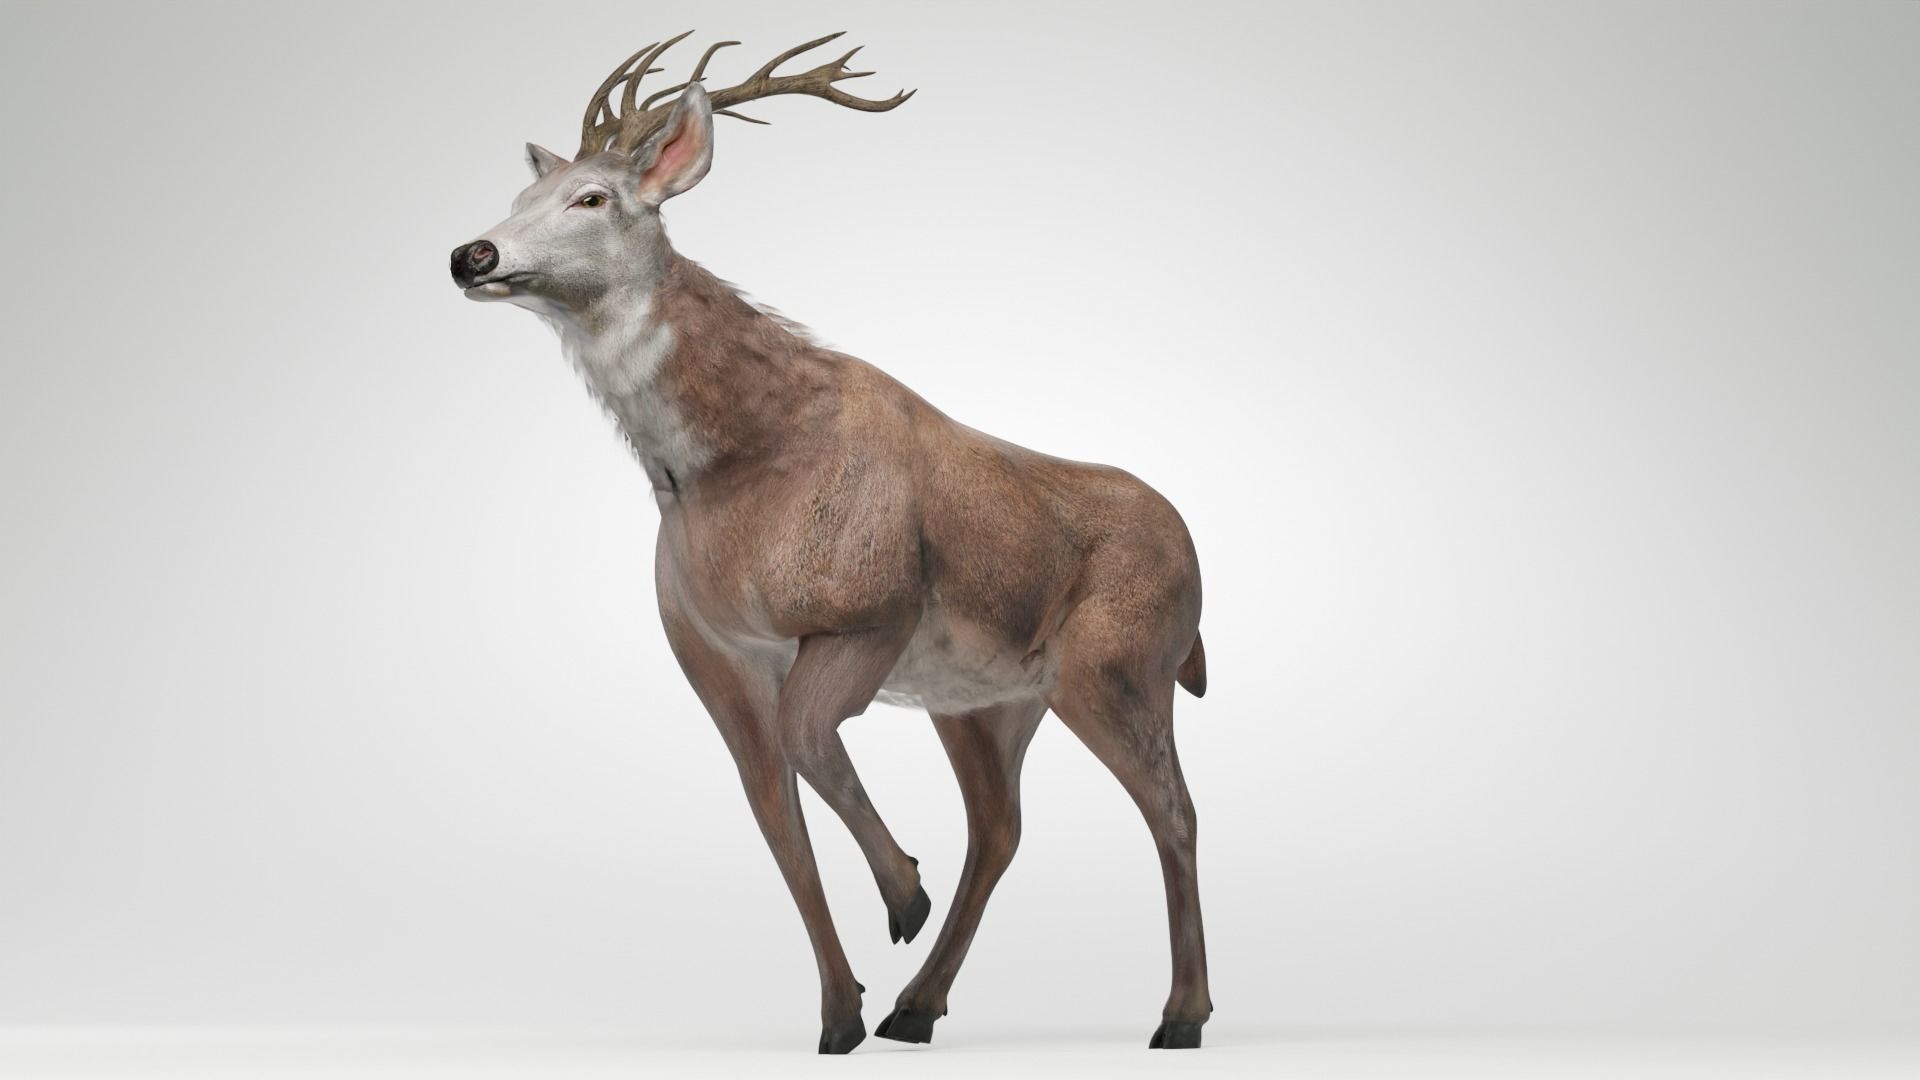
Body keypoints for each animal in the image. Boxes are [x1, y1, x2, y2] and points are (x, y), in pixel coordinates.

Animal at [448, 31, 1212, 1053]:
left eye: (594, 197)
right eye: (523, 193)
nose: (471, 253)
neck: (727, 469)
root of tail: (1199, 566)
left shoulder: (866, 611)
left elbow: (810, 744)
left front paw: (901, 897)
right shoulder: (714, 655)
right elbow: (777, 821)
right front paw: (840, 1013)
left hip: (1122, 664)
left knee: (1174, 807)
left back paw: (1180, 1015)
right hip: (988, 700)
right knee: (1002, 826)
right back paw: (915, 1009)